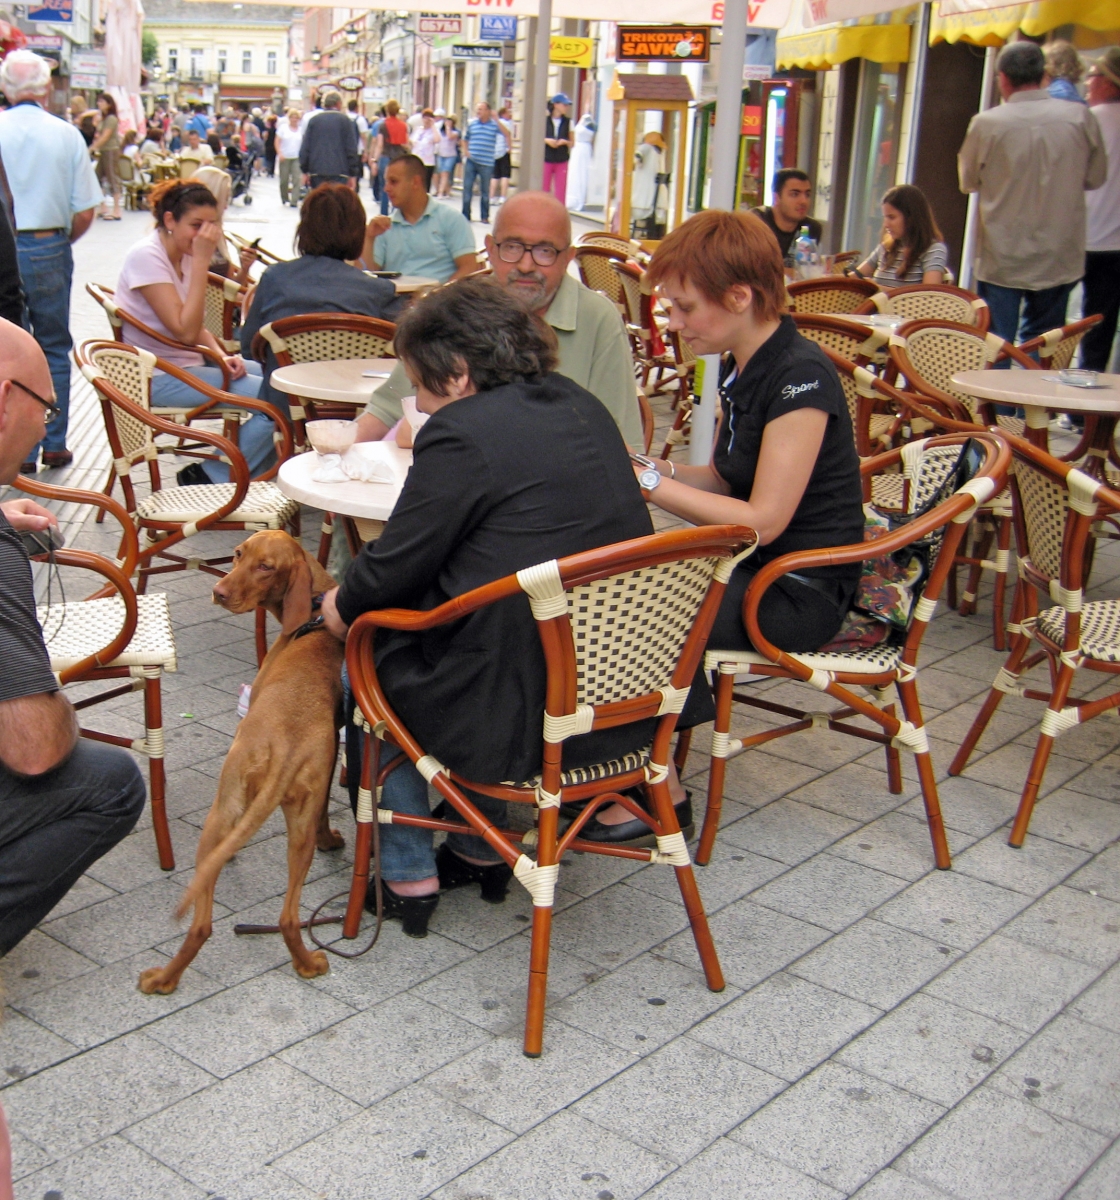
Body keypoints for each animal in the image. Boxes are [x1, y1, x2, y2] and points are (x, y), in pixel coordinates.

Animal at [142, 532, 348, 993]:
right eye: (238, 555)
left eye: (266, 567)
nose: (218, 592)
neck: (314, 613)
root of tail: (285, 746)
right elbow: (327, 810)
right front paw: (331, 840)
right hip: (298, 831)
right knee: (287, 917)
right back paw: (307, 965)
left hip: (220, 810)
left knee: (203, 921)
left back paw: (162, 979)